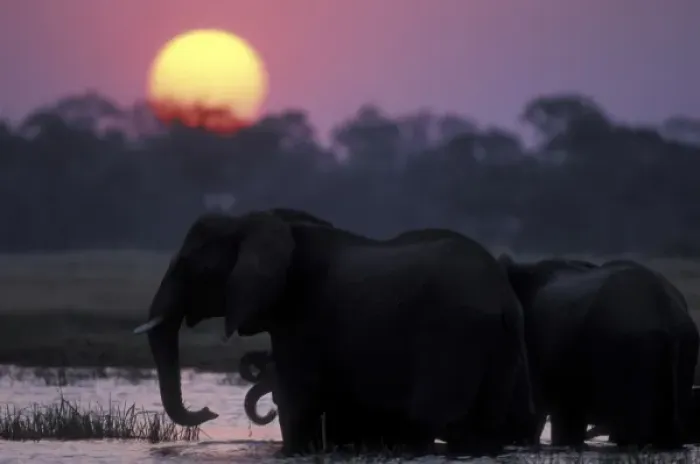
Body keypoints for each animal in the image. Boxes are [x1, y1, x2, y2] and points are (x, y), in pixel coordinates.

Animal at [133, 208, 536, 456]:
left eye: (187, 265)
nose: (209, 411)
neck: (258, 222)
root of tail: (503, 297)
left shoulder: (304, 318)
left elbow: (298, 405)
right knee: (479, 429)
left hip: (453, 336)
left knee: (431, 419)